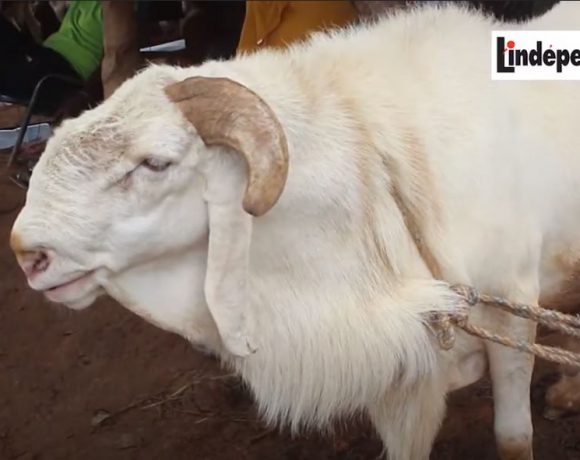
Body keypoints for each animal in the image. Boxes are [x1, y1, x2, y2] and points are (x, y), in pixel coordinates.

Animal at [9, 2, 580, 459]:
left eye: (155, 163)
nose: (26, 254)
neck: (382, 164)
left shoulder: (510, 313)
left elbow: (512, 439)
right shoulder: (401, 359)